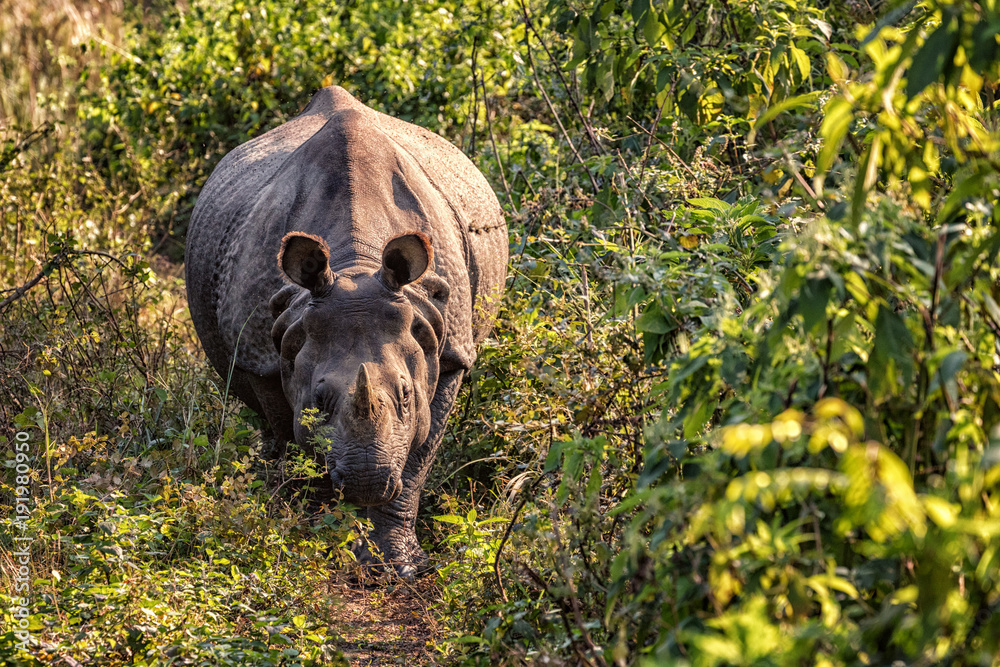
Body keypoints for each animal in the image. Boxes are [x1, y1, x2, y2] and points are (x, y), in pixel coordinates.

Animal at [185, 86, 508, 576]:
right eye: (319, 400)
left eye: (406, 395)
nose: (366, 480)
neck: (355, 264)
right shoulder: (263, 352)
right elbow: (298, 442)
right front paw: (320, 548)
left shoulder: (449, 346)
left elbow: (418, 459)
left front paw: (400, 566)